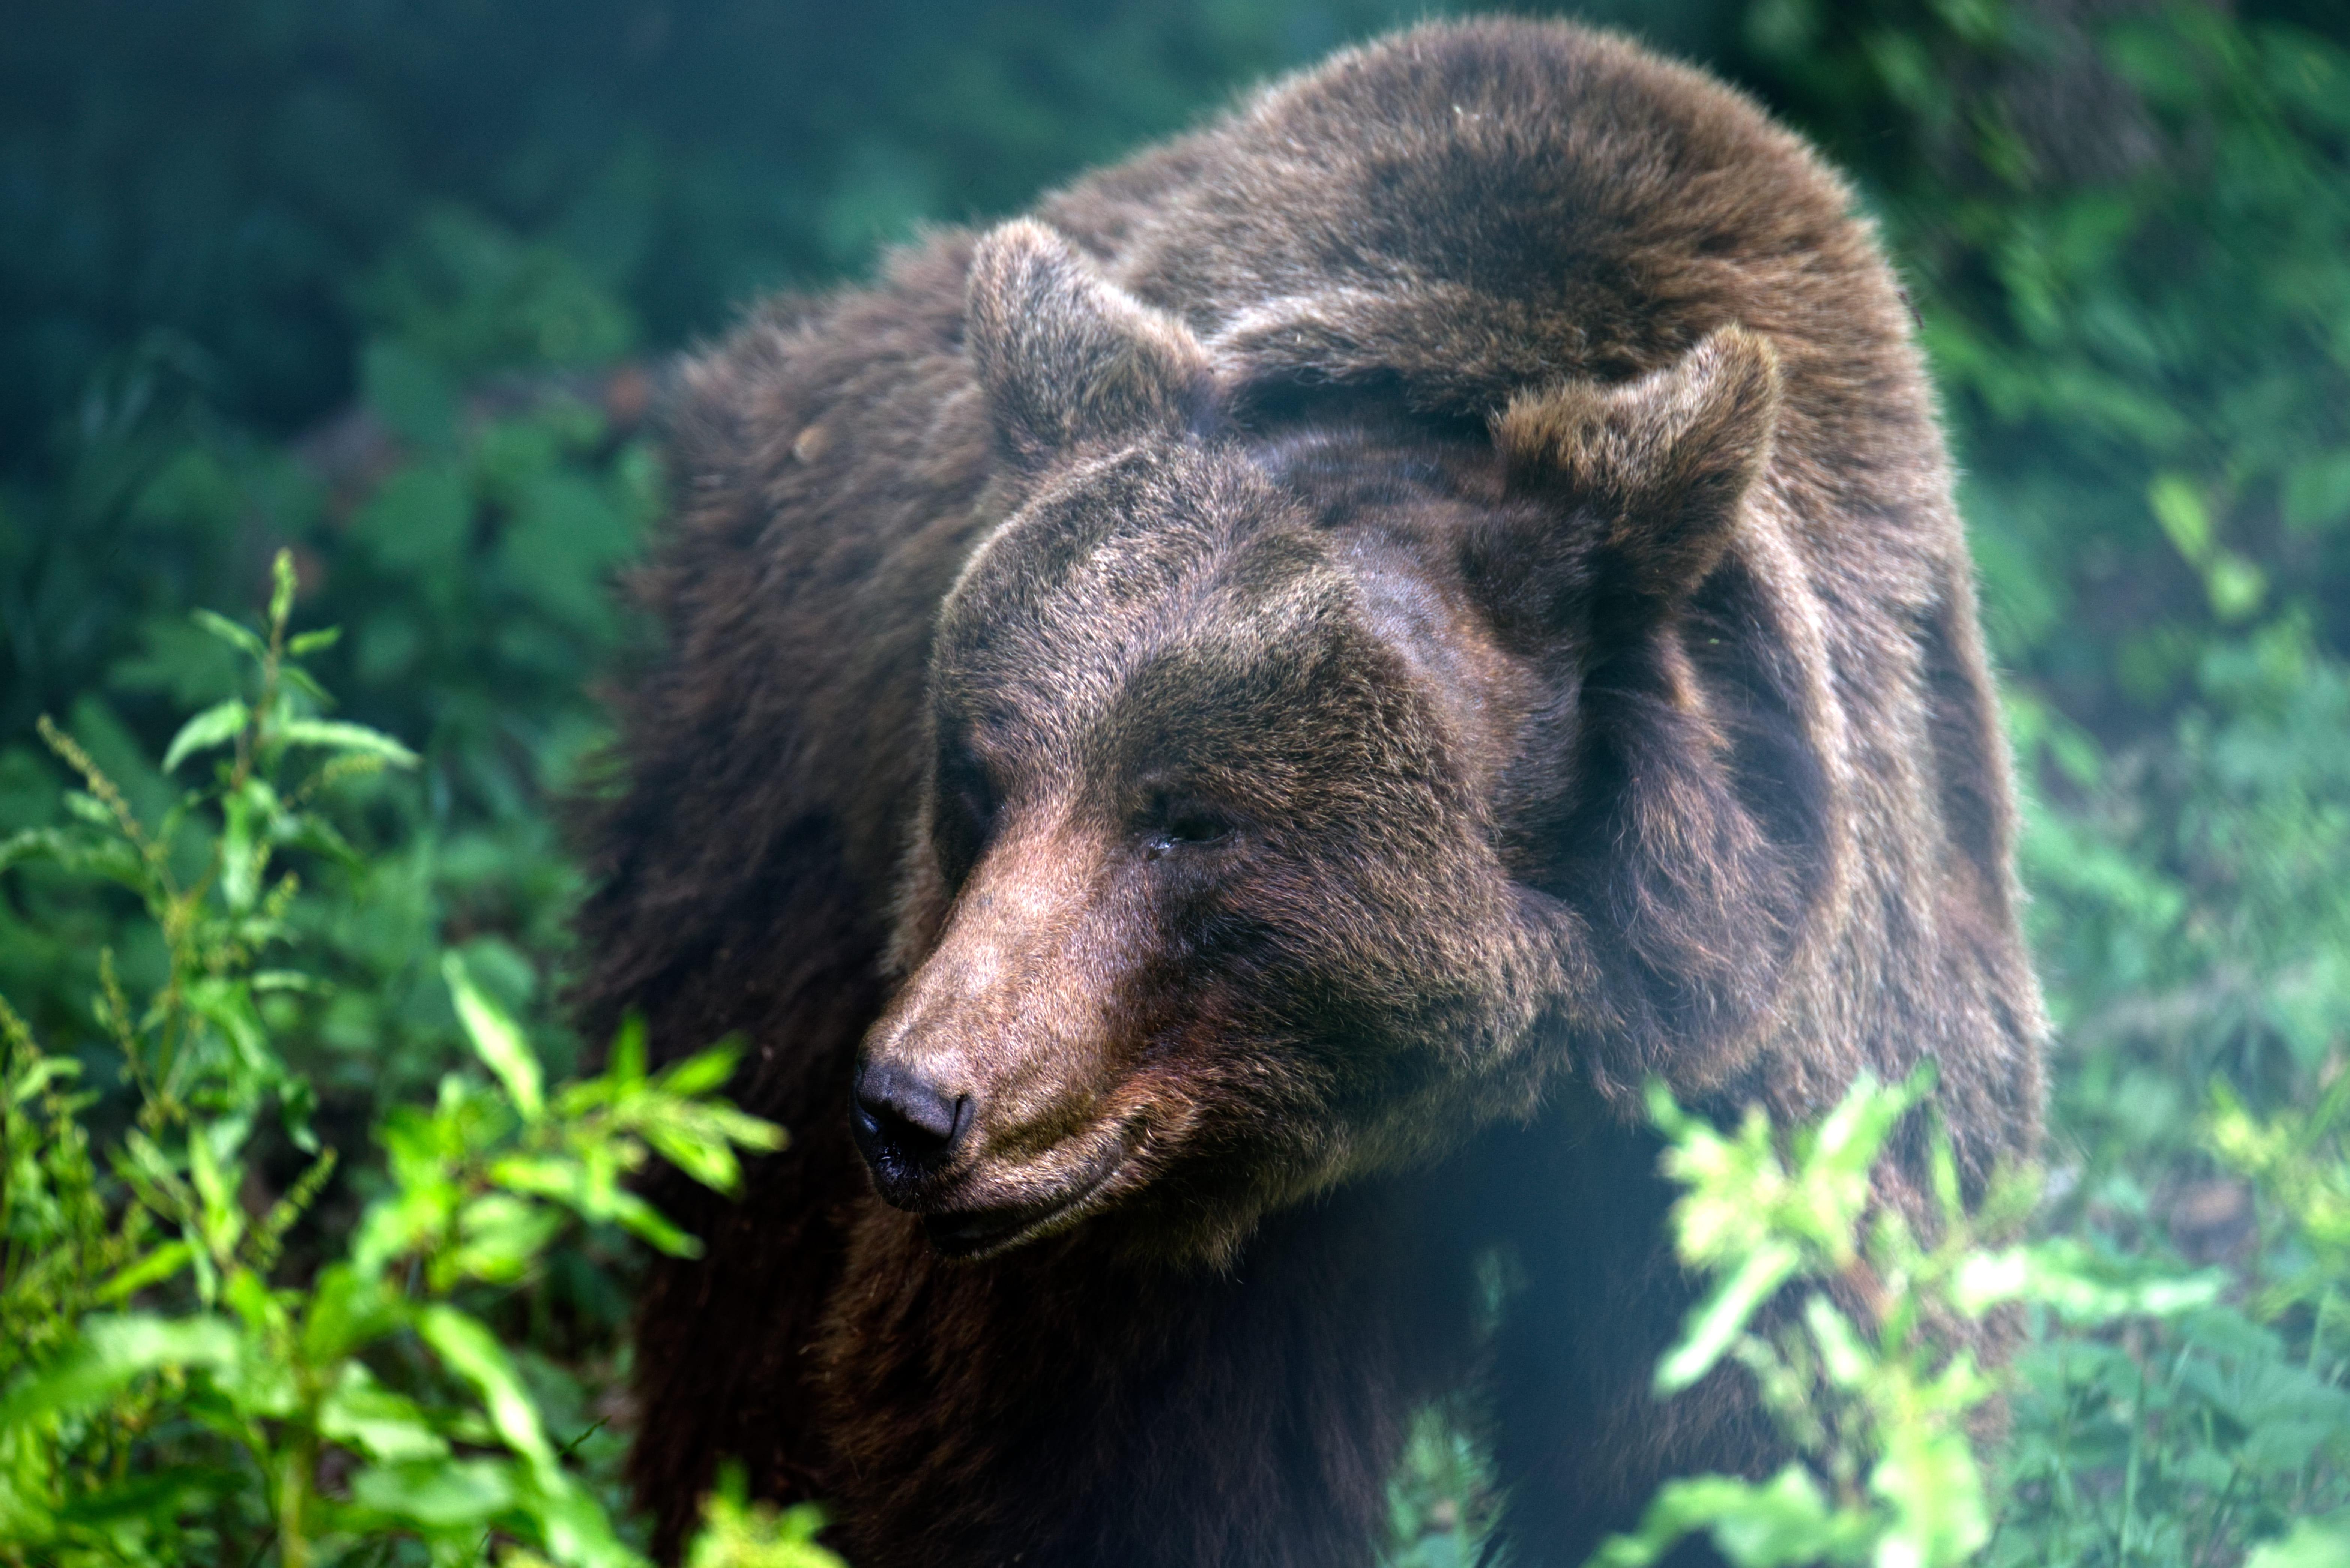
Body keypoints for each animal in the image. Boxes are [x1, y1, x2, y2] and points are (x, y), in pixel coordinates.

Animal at [578, 15, 2049, 1568]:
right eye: (981, 773)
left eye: (1187, 821)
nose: (919, 1105)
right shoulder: (1131, 1234)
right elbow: (1083, 1474)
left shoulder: (1758, 1075)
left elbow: (1741, 1437)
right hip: (774, 800)